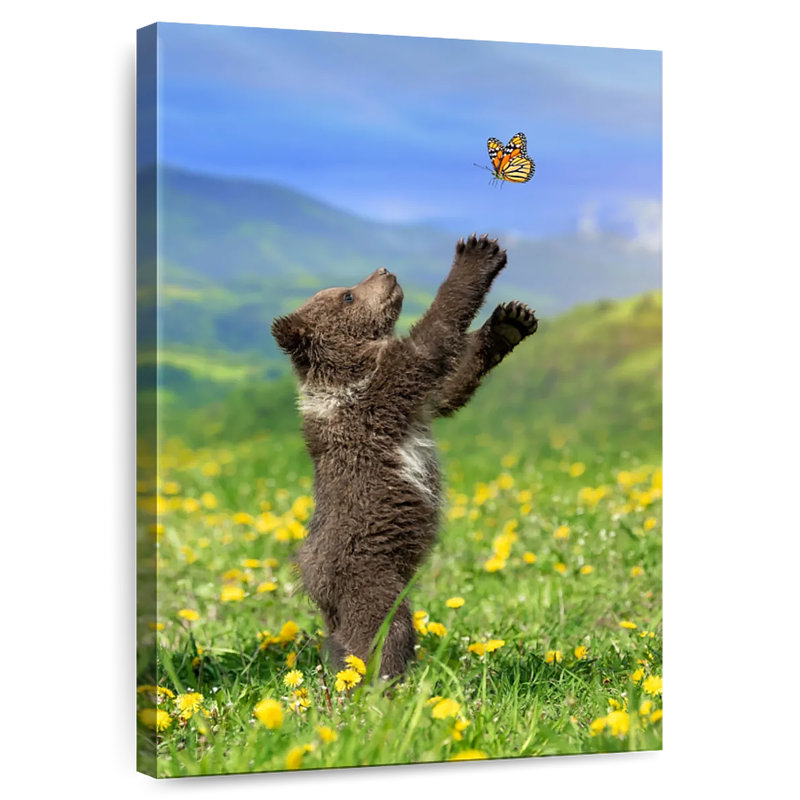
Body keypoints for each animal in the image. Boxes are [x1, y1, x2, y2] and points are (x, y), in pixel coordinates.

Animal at [271, 234, 537, 680]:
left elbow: (451, 384)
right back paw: (388, 681)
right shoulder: (384, 389)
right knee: (382, 632)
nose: (383, 270)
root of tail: (313, 581)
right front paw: (476, 253)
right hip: (369, 576)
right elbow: (434, 338)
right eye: (347, 295)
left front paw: (511, 320)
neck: (350, 369)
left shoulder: (417, 402)